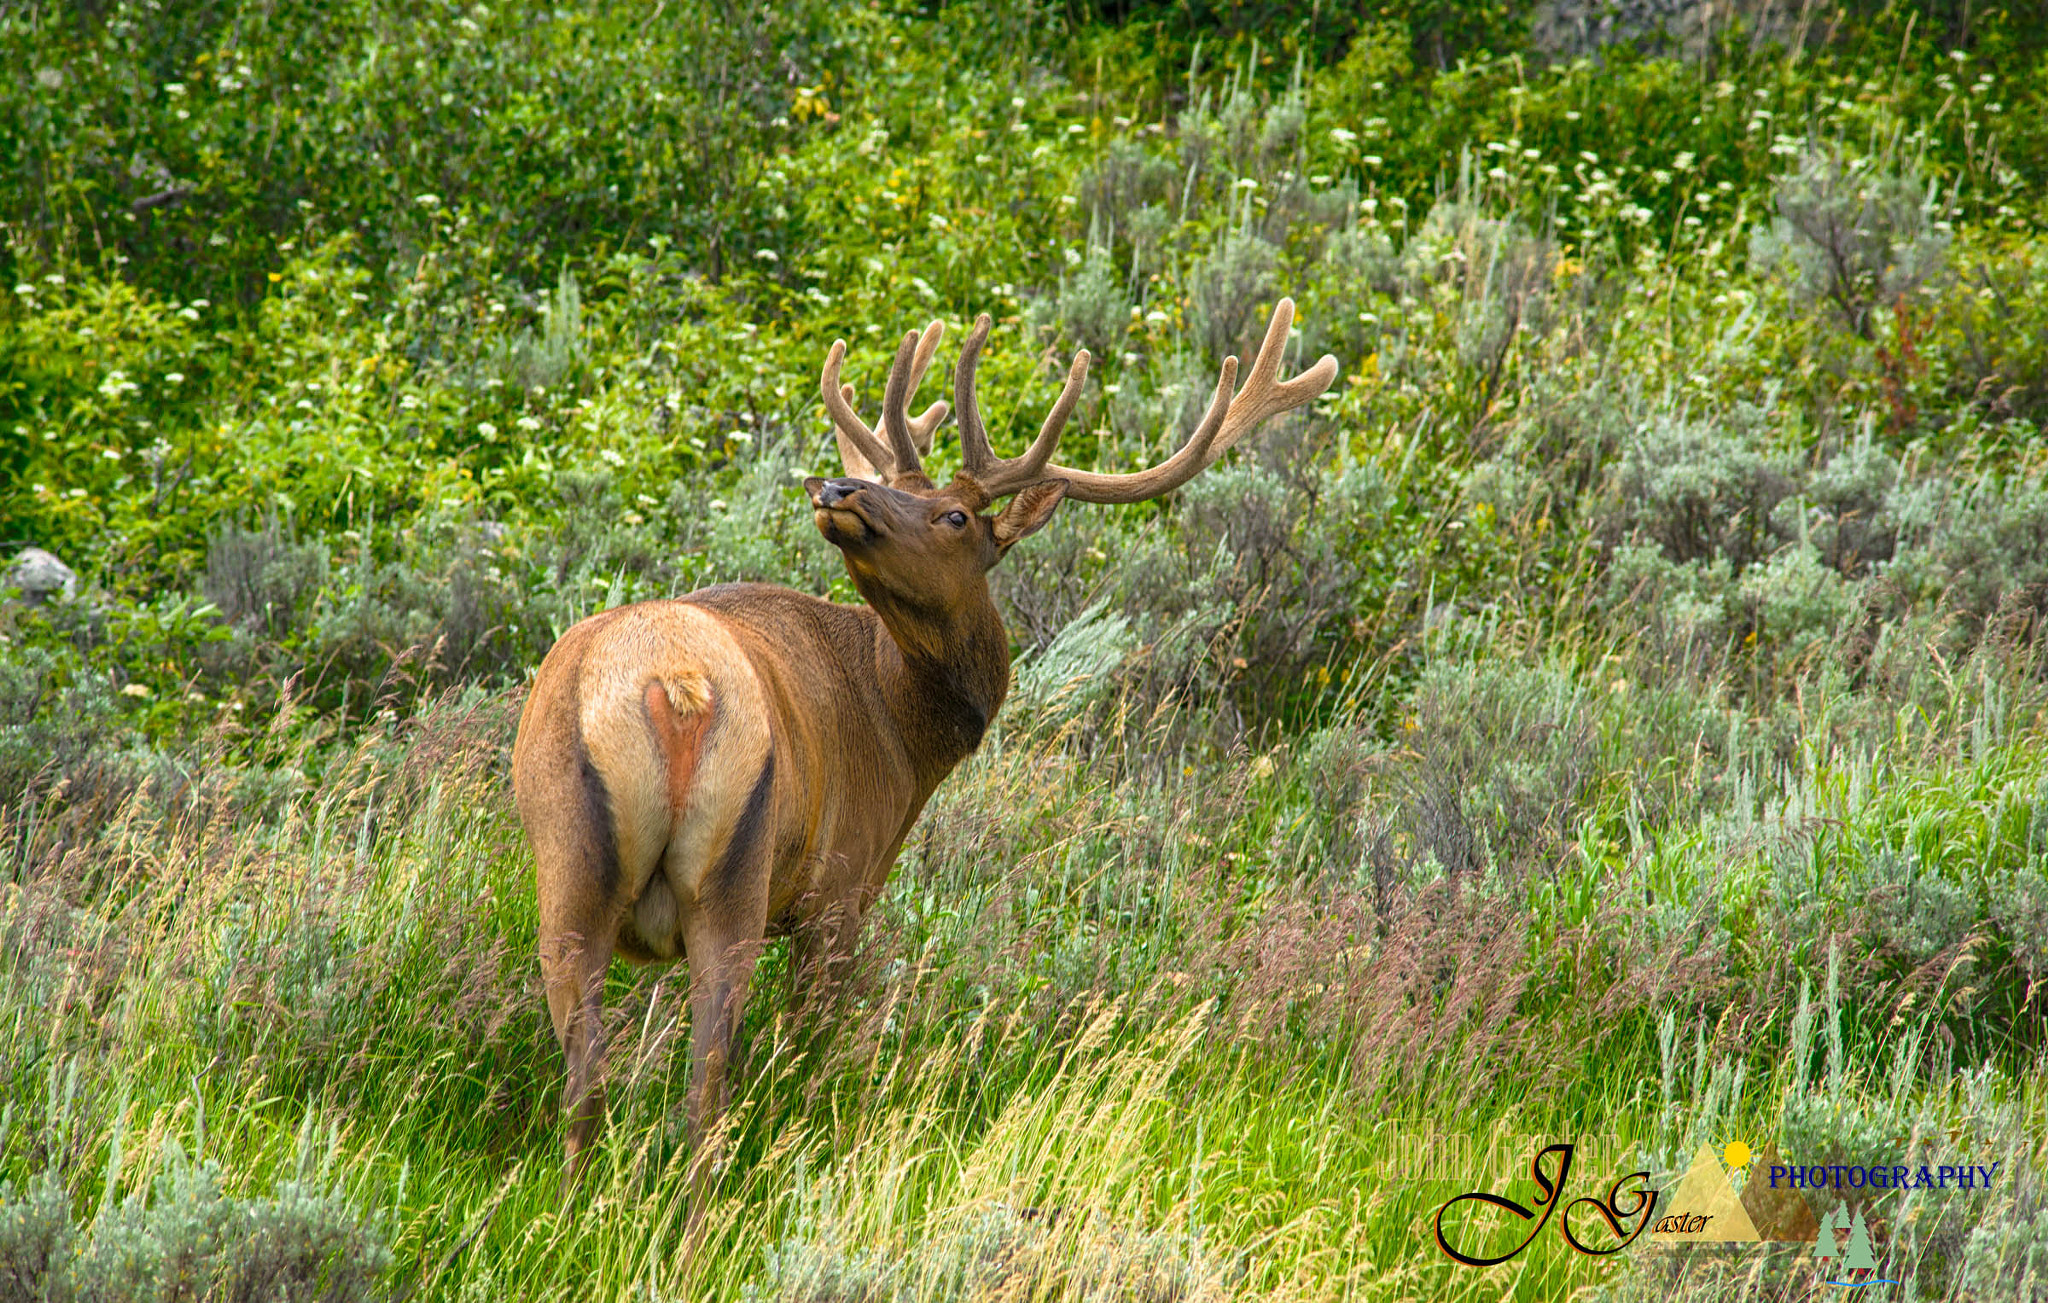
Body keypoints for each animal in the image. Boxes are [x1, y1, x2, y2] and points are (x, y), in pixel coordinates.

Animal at [510, 298, 1336, 1179]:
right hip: (736, 874)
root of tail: (672, 687)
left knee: (586, 1081)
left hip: (565, 869)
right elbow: (812, 1051)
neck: (907, 745)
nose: (839, 485)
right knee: (708, 1085)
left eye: (952, 512)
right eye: (915, 495)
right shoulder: (840, 887)